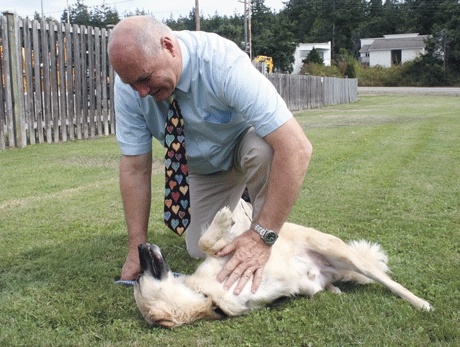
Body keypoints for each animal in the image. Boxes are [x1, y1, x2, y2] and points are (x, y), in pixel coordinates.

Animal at [133, 200, 432, 328]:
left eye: (137, 277)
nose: (139, 246)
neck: (207, 293)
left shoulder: (230, 252)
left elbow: (208, 241)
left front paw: (223, 218)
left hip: (340, 252)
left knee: (389, 281)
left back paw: (419, 302)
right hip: (321, 280)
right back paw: (334, 289)